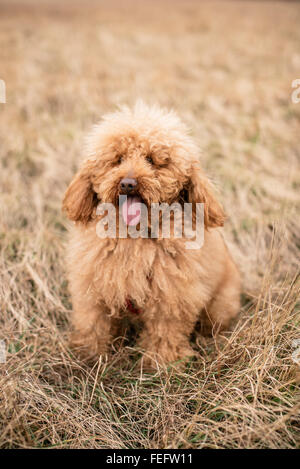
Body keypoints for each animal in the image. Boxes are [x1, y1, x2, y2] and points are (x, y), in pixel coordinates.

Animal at [62, 102, 240, 370]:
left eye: (153, 160)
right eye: (117, 160)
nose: (127, 183)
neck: (135, 237)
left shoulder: (172, 296)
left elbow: (165, 332)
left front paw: (163, 364)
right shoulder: (94, 287)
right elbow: (93, 323)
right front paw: (88, 355)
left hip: (221, 303)